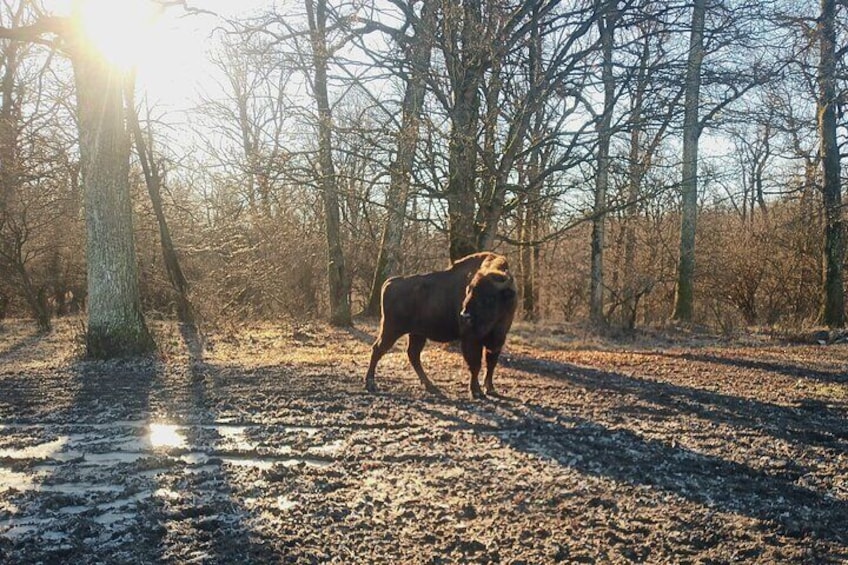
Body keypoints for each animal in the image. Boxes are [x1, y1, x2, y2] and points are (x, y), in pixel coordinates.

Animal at [364, 251, 516, 396]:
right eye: (468, 292)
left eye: (489, 297)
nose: (465, 315)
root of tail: (390, 282)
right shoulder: (471, 339)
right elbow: (475, 365)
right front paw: (476, 391)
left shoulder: (498, 339)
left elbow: (491, 364)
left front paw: (490, 389)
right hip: (391, 329)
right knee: (378, 349)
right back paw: (370, 384)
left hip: (417, 334)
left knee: (413, 355)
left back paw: (431, 386)